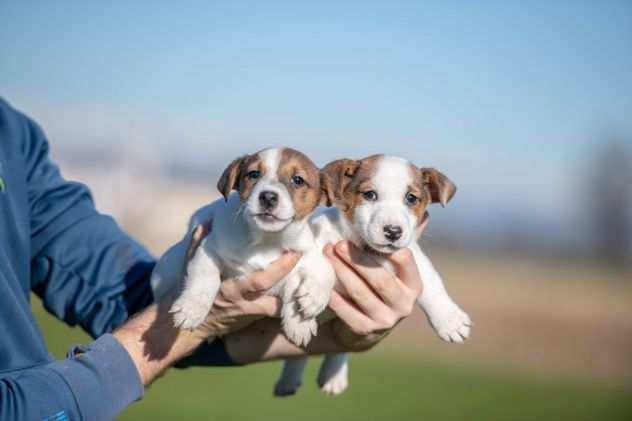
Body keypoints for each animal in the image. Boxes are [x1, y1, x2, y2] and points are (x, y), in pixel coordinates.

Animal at [149, 148, 336, 348]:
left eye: (298, 180)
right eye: (253, 174)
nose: (268, 197)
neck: (267, 240)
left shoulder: (303, 255)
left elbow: (314, 275)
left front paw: (302, 317)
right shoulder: (209, 247)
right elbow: (205, 276)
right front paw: (191, 308)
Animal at [274, 153, 472, 394]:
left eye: (411, 198)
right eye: (370, 195)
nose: (393, 232)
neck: (364, 246)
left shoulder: (413, 256)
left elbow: (432, 284)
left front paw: (449, 320)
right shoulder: (313, 242)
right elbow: (319, 266)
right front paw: (307, 307)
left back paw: (332, 374)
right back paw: (290, 376)